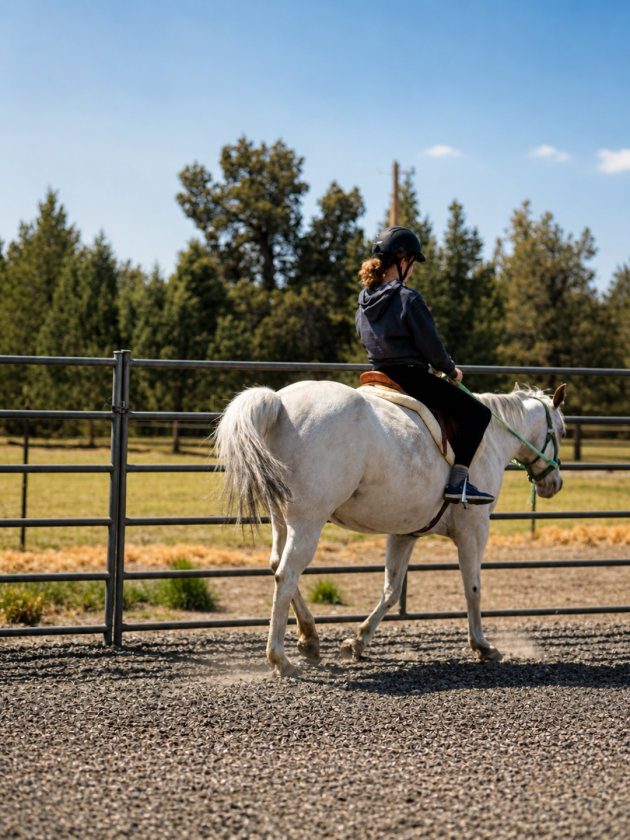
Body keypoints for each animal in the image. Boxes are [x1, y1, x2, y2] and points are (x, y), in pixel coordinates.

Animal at [216, 380, 566, 677]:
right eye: (561, 431)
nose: (554, 483)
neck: (491, 439)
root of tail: (278, 401)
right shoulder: (474, 531)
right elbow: (473, 589)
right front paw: (482, 646)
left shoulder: (404, 534)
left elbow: (392, 590)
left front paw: (357, 641)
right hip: (308, 522)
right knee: (287, 573)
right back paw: (281, 659)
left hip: (282, 518)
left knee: (278, 566)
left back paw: (310, 640)